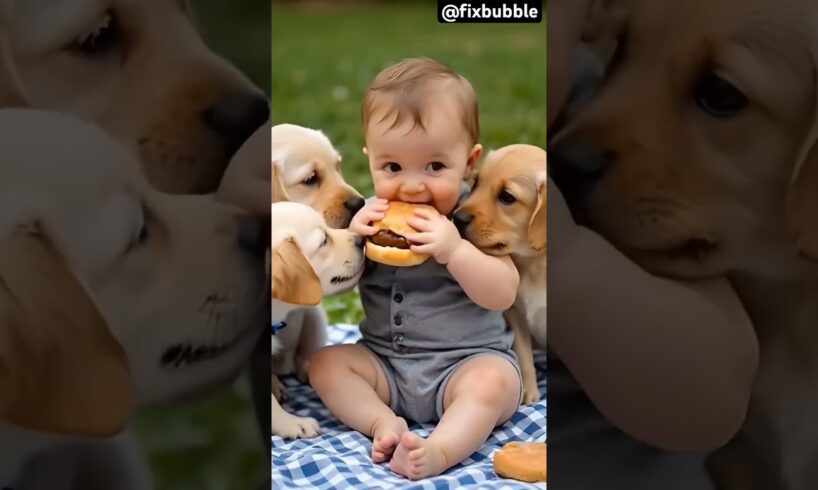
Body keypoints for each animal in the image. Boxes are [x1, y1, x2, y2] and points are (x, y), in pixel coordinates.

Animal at [456, 144, 544, 404]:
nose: (456, 218)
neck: (534, 264)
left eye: (507, 197)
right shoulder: (515, 314)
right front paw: (528, 393)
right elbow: (524, 355)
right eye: (476, 183)